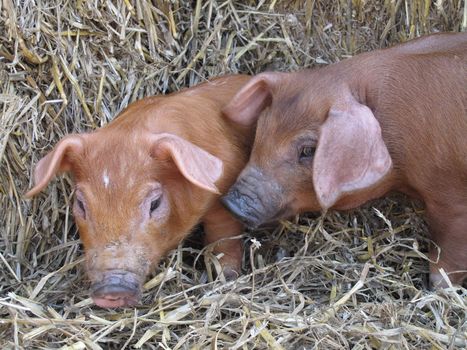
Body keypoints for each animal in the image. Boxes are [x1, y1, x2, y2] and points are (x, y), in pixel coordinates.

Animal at [220, 32, 467, 288]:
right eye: (261, 128)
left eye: (308, 150)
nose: (231, 203)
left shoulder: (451, 195)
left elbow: (448, 252)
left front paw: (437, 287)